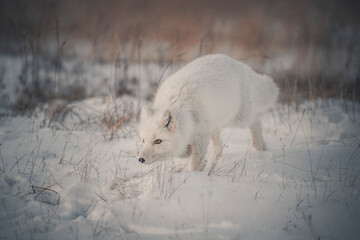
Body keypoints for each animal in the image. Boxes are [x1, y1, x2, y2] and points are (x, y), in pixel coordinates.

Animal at [138, 54, 278, 171]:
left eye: (158, 141)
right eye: (143, 140)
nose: (141, 159)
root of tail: (239, 63)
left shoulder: (201, 134)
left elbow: (196, 163)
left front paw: (195, 174)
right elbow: (184, 151)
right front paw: (187, 152)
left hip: (238, 119)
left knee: (256, 120)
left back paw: (260, 145)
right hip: (216, 122)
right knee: (219, 144)